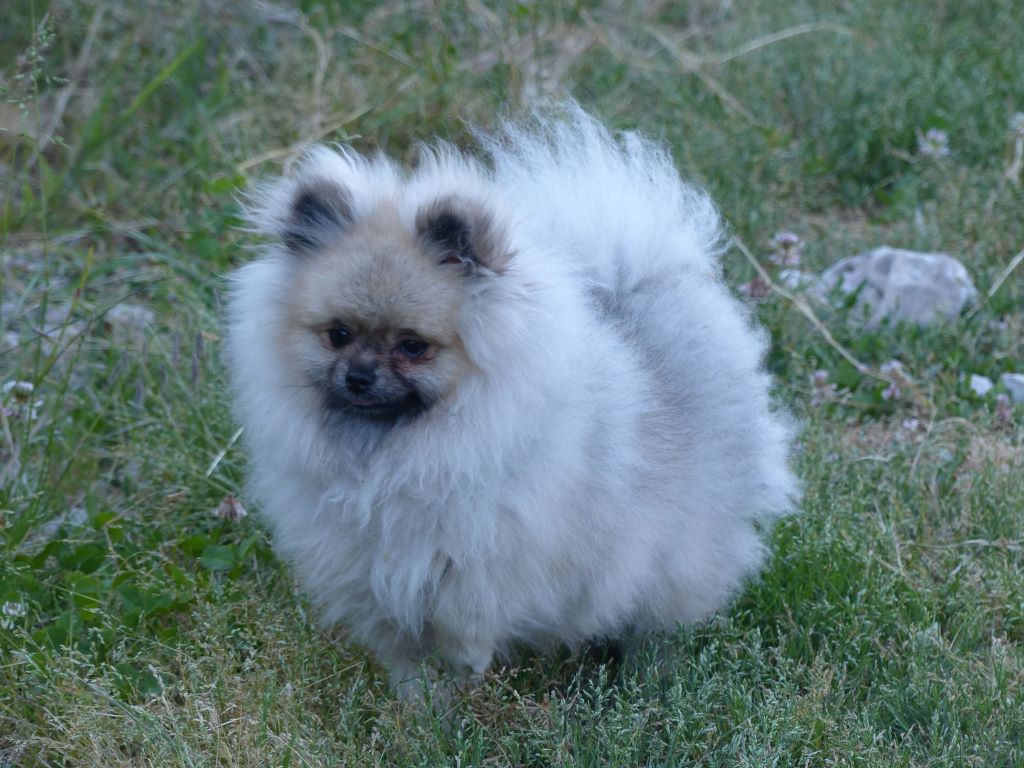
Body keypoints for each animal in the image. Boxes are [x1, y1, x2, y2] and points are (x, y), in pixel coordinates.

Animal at [226, 108, 798, 704]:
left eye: (413, 346)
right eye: (337, 334)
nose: (359, 376)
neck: (396, 455)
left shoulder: (476, 569)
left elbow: (463, 638)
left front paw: (458, 689)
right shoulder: (372, 575)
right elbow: (407, 655)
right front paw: (417, 707)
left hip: (682, 548)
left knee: (663, 615)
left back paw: (649, 674)